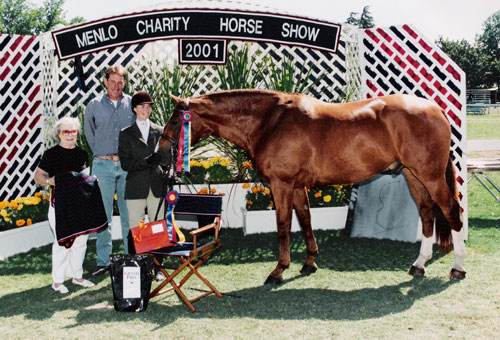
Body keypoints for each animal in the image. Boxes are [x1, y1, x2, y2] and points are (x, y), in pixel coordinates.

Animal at [159, 89, 464, 282]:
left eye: (175, 119)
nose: (160, 152)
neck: (270, 121)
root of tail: (436, 109)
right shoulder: (297, 187)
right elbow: (305, 220)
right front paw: (309, 263)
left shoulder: (281, 185)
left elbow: (283, 225)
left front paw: (279, 270)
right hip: (414, 176)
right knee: (427, 215)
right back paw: (418, 265)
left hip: (430, 177)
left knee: (452, 212)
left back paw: (458, 269)